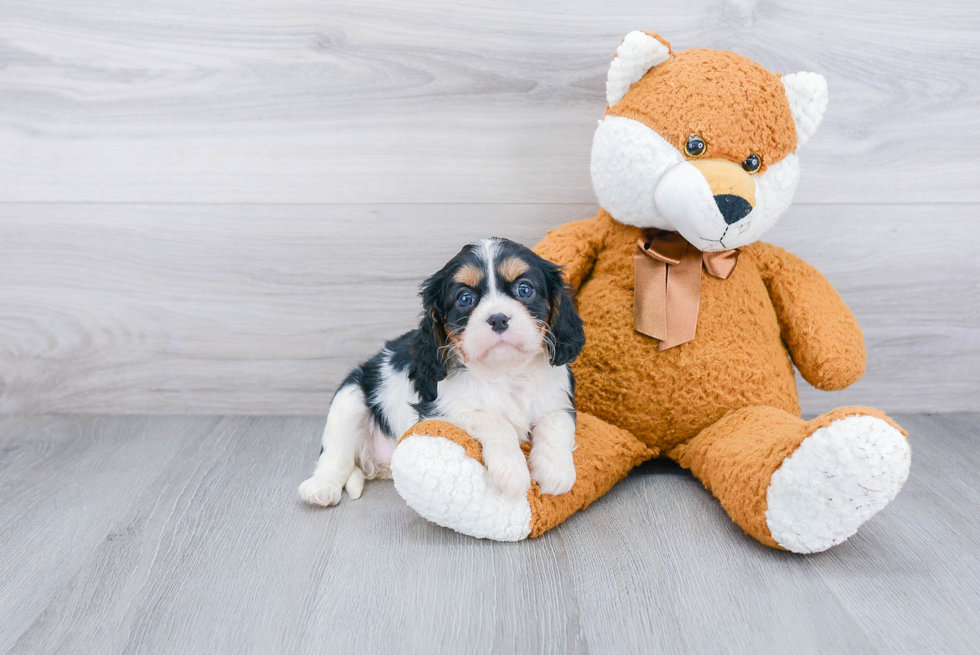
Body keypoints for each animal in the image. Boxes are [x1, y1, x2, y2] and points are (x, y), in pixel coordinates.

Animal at [298, 237, 584, 508]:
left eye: (525, 289)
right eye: (465, 298)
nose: (498, 318)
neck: (505, 372)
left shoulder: (558, 398)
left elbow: (557, 420)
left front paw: (556, 471)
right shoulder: (437, 411)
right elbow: (495, 420)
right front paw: (511, 471)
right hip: (349, 399)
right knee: (335, 457)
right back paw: (321, 488)